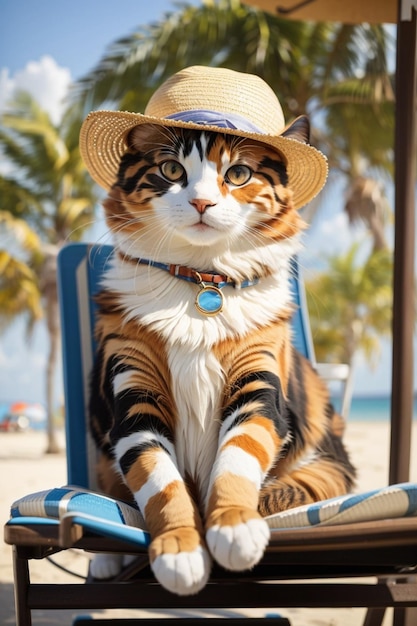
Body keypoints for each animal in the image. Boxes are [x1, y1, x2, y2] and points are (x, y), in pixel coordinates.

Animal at [88, 118, 354, 596]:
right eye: (171, 169)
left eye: (238, 174)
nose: (201, 202)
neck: (200, 279)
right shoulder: (134, 401)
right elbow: (159, 480)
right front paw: (180, 549)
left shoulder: (258, 391)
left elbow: (238, 457)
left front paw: (233, 527)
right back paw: (104, 558)